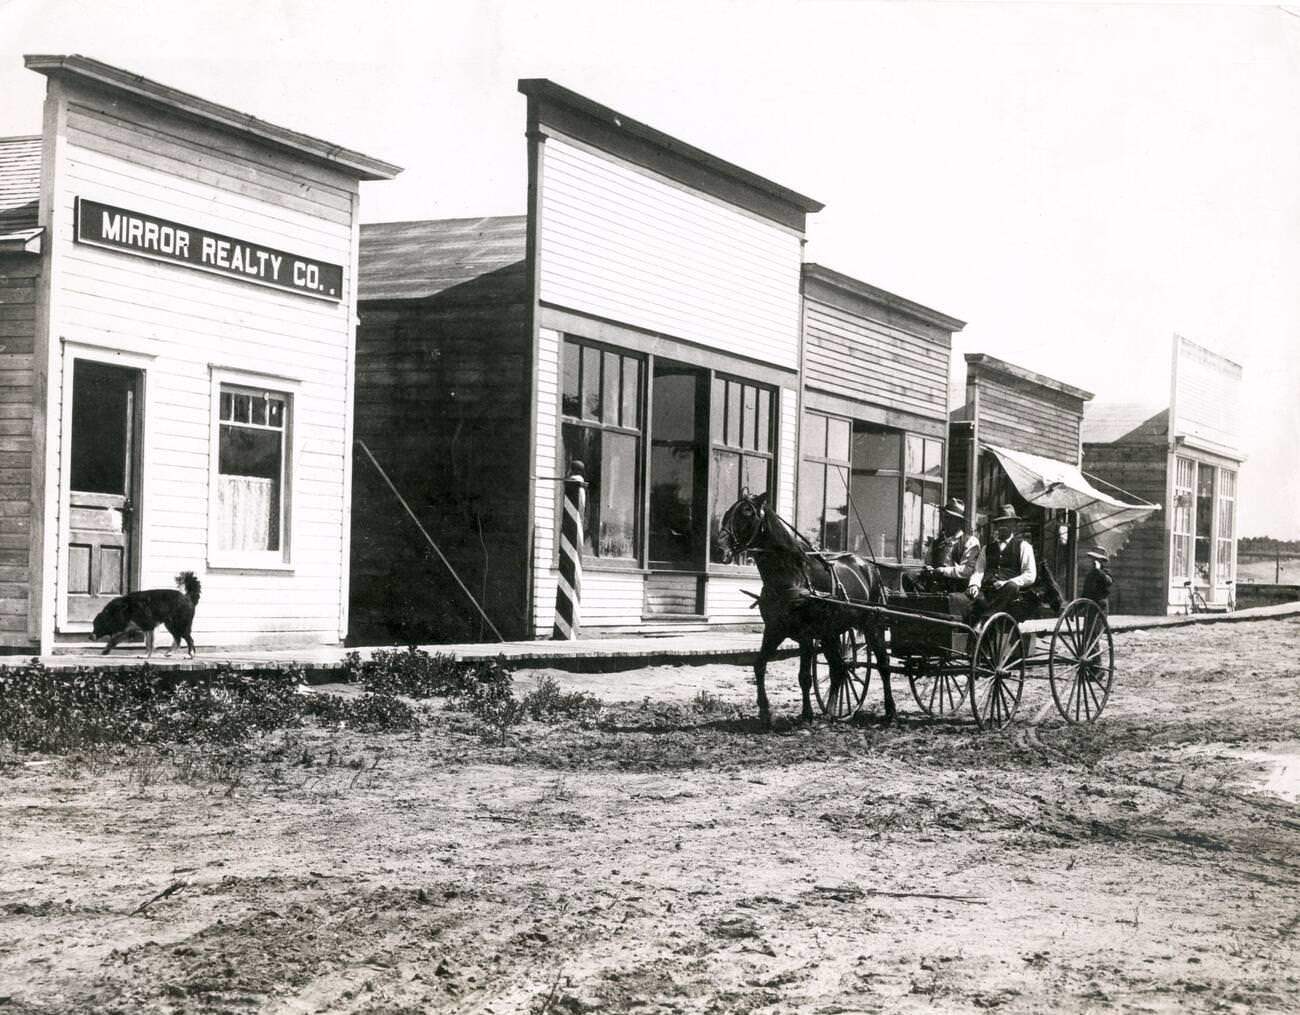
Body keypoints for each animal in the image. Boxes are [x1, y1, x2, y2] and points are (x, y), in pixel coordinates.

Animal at [712, 488, 894, 722]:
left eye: (747, 513)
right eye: (727, 513)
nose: (719, 550)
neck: (793, 576)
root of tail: (869, 567)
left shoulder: (806, 635)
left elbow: (805, 677)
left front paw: (807, 714)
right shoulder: (774, 629)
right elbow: (759, 665)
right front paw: (764, 711)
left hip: (873, 626)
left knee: (883, 665)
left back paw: (889, 710)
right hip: (830, 633)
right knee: (838, 668)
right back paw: (831, 712)